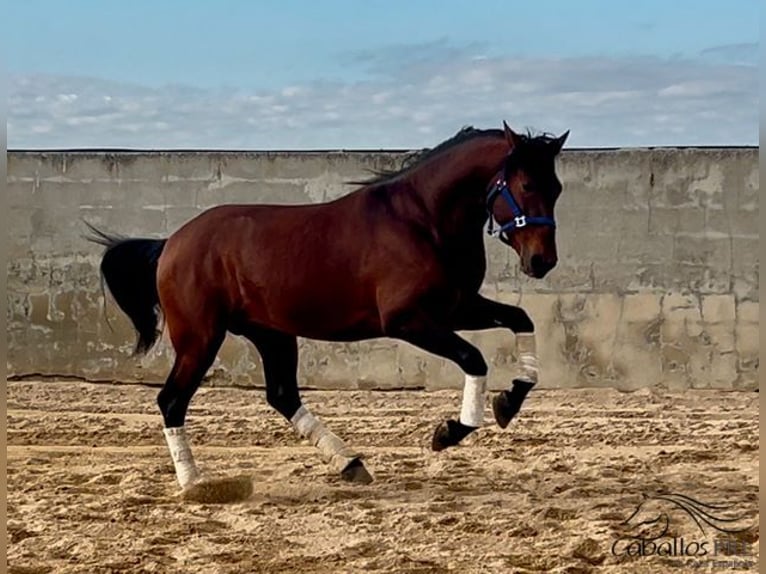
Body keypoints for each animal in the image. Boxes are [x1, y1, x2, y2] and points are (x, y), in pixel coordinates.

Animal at [88, 121, 568, 490]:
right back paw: (194, 483)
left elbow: (521, 319)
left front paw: (510, 401)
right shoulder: (408, 320)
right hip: (200, 338)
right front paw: (451, 431)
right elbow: (473, 357)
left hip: (272, 334)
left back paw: (350, 463)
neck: (421, 221)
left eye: (557, 188)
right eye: (527, 184)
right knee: (171, 400)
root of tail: (170, 243)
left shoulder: (457, 307)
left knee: (282, 395)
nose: (542, 261)